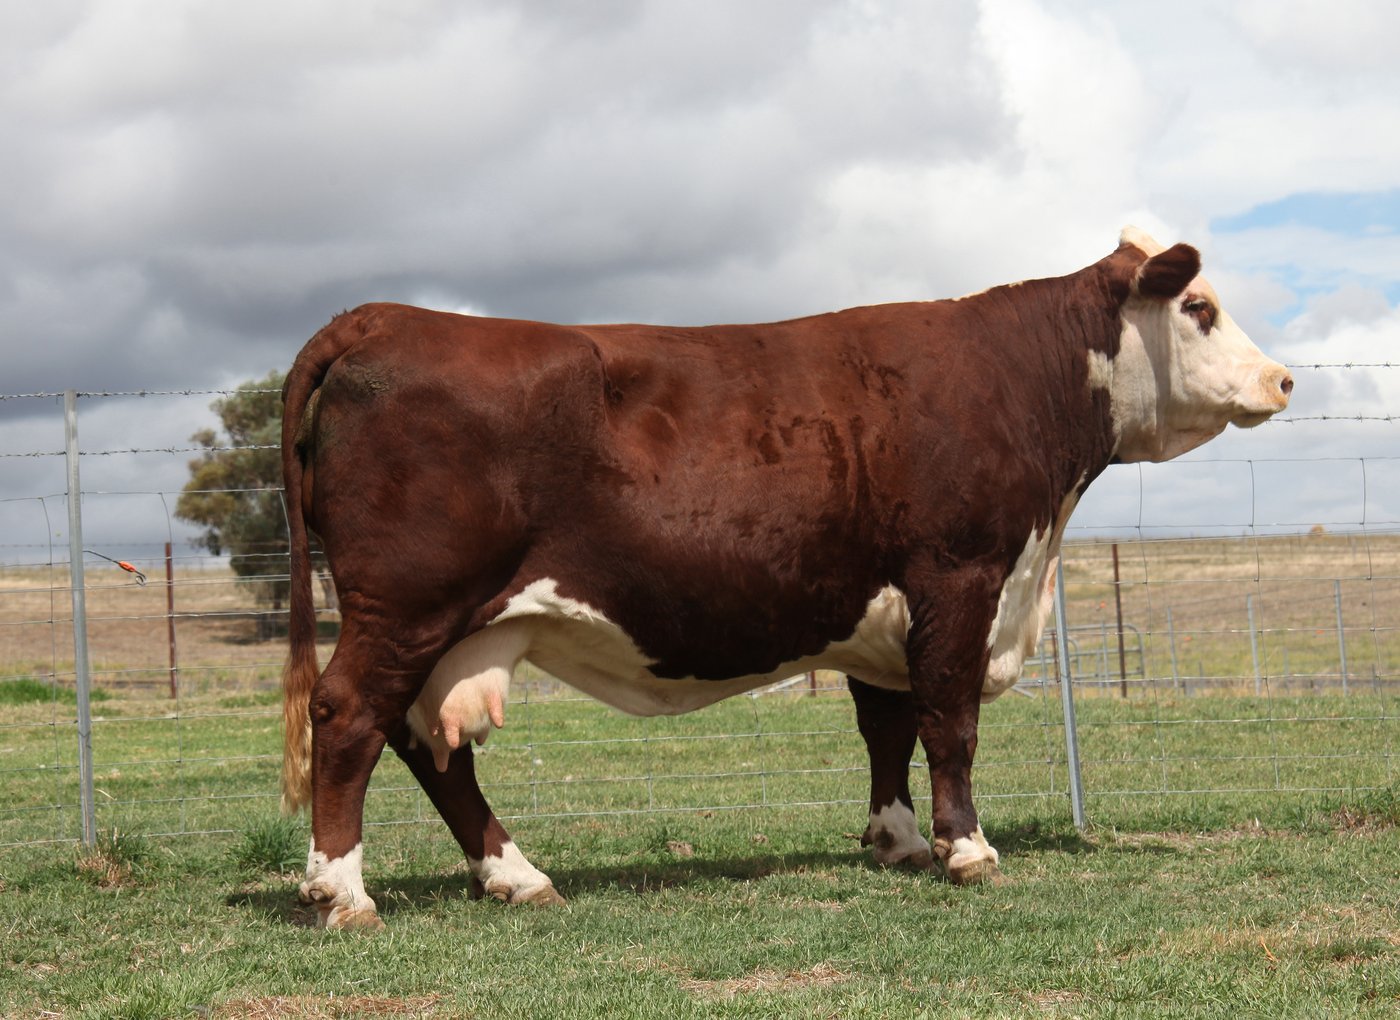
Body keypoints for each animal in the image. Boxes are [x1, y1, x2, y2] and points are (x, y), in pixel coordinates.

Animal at [279, 227, 1292, 928]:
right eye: (1198, 307)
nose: (1282, 380)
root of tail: (385, 315)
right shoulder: (960, 578)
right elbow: (950, 723)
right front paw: (967, 847)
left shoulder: (883, 611)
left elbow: (888, 729)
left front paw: (899, 840)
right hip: (405, 604)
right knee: (350, 716)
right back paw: (343, 892)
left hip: (445, 622)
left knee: (426, 744)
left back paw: (515, 875)